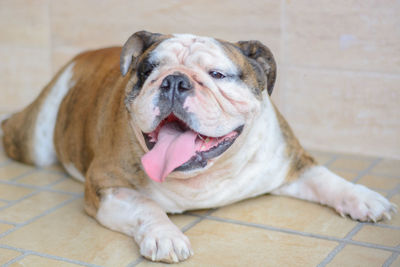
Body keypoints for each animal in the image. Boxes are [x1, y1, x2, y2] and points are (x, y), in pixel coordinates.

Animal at [0, 31, 394, 264]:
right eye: (148, 71)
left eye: (217, 75)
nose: (174, 81)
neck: (207, 175)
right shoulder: (105, 185)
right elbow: (146, 206)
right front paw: (165, 235)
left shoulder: (293, 161)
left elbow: (328, 179)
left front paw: (363, 198)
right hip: (33, 141)